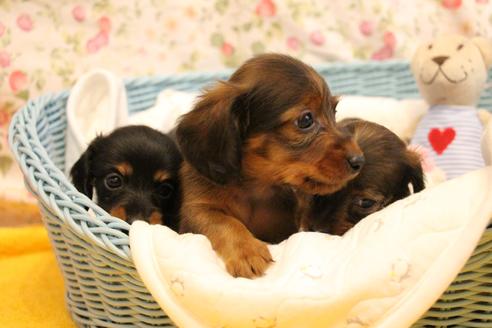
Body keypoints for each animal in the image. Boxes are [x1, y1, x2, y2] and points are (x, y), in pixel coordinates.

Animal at [175, 53, 364, 276]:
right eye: (306, 119)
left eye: (334, 112)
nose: (359, 160)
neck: (255, 190)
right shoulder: (195, 209)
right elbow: (222, 221)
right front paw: (246, 251)